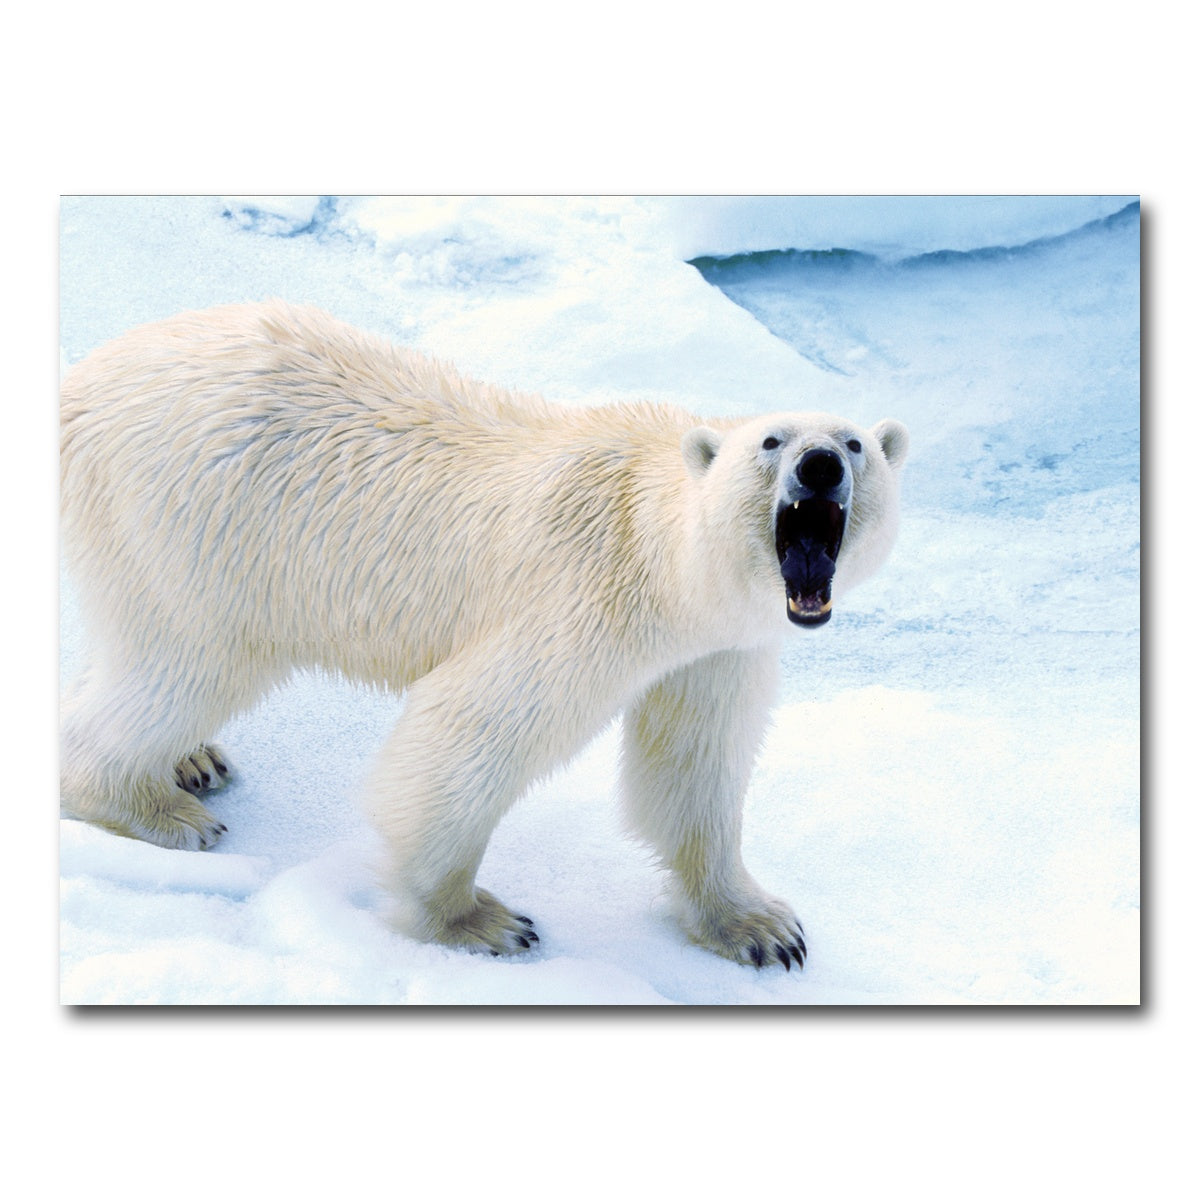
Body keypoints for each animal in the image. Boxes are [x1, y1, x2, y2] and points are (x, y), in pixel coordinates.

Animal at [60, 300, 909, 968]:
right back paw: (156, 807)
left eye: (855, 442)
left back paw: (193, 759)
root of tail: (81, 381)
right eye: (770, 441)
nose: (820, 465)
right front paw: (479, 920)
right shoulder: (584, 600)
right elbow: (467, 734)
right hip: (197, 521)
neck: (661, 550)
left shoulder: (717, 649)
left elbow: (693, 766)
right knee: (187, 662)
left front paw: (760, 926)